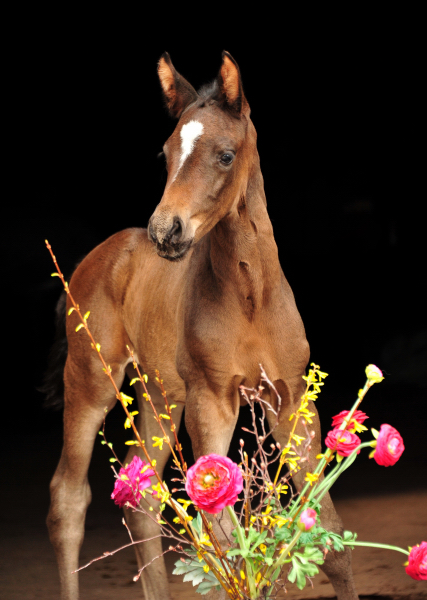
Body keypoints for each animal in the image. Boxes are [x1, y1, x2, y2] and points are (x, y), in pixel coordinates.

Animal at [46, 51, 358, 600]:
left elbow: (331, 536)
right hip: (91, 380)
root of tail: (96, 257)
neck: (251, 297)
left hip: (160, 393)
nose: (165, 231)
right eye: (167, 152)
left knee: (142, 499)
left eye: (226, 155)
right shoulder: (211, 399)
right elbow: (230, 539)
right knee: (68, 498)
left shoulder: (291, 396)